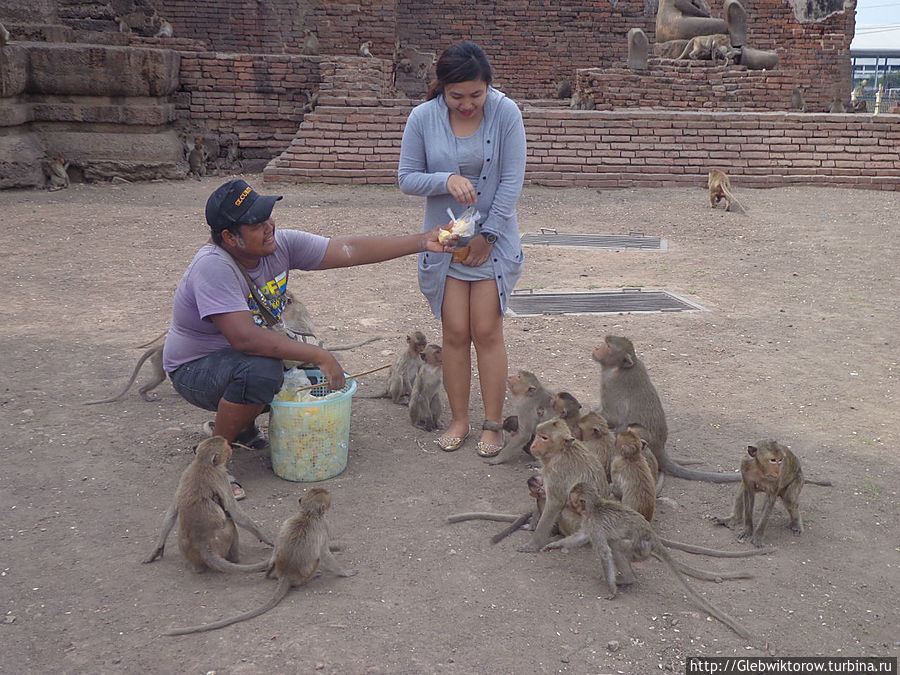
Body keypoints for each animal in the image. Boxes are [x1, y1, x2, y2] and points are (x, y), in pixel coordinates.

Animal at [142, 436, 270, 572]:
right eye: (226, 446)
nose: (231, 447)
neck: (202, 462)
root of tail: (204, 545)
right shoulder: (221, 476)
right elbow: (235, 513)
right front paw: (266, 539)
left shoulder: (184, 473)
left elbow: (171, 513)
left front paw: (157, 549)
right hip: (224, 538)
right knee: (231, 522)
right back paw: (235, 559)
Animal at [165, 488, 356, 636]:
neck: (307, 513)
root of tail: (286, 574)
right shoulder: (324, 526)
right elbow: (324, 554)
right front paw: (345, 572)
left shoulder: (288, 521)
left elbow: (277, 545)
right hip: (306, 572)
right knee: (316, 560)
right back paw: (311, 577)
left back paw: (271, 574)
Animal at [520, 420, 612, 552]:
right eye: (538, 435)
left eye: (544, 438)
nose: (533, 446)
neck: (560, 451)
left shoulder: (557, 472)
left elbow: (554, 503)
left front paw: (533, 544)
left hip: (576, 525)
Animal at [544, 484, 756, 640]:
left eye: (572, 500)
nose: (568, 504)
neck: (595, 507)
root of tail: (652, 535)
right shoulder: (589, 523)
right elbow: (580, 537)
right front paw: (553, 545)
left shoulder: (594, 524)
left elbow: (604, 552)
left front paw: (612, 590)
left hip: (639, 548)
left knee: (616, 547)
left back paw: (628, 578)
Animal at [592, 336, 740, 484]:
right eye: (605, 343)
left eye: (608, 346)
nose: (596, 348)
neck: (618, 368)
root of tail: (660, 449)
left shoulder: (611, 386)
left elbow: (612, 416)